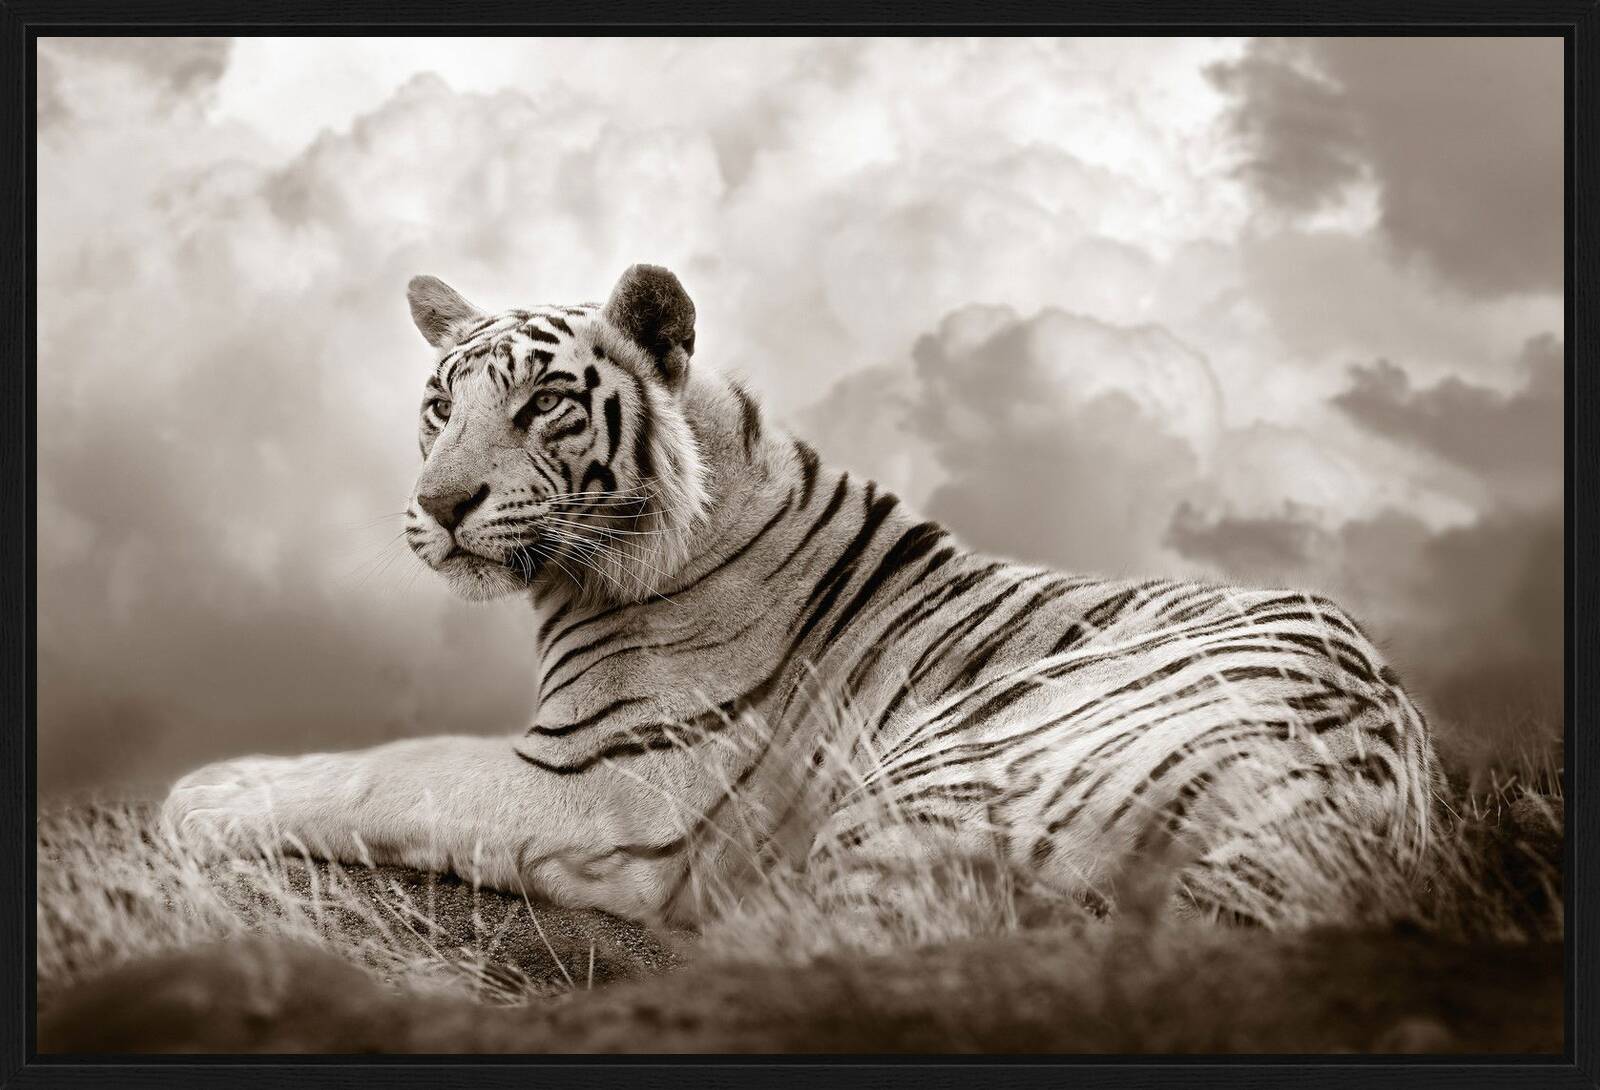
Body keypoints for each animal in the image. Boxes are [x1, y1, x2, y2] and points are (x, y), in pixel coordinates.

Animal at [164, 263, 1443, 928]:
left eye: (544, 405)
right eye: (440, 403)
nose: (438, 504)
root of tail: (1353, 797)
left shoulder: (608, 793)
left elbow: (395, 766)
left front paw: (207, 792)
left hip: (923, 779)